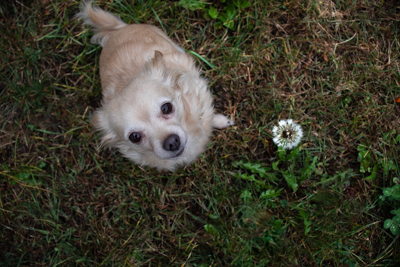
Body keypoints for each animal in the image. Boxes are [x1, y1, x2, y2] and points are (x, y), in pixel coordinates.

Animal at [76, 1, 233, 172]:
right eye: (135, 137)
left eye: (166, 108)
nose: (171, 142)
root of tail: (116, 30)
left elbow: (210, 117)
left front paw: (222, 121)